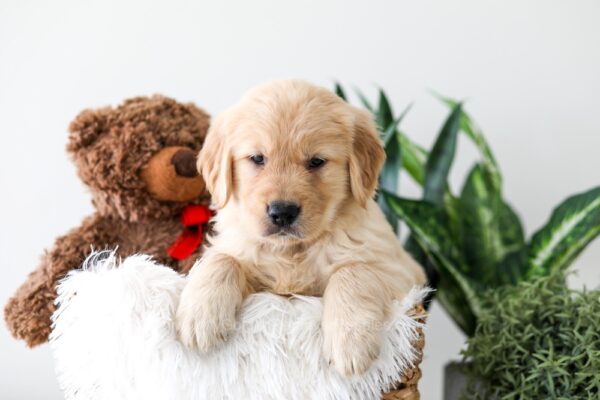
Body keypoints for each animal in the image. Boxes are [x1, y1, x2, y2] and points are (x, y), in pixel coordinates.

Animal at [177, 79, 426, 376]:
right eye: (257, 158)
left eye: (316, 161)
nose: (282, 213)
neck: (292, 251)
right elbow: (222, 260)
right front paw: (199, 316)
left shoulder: (402, 272)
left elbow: (353, 271)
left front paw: (350, 342)